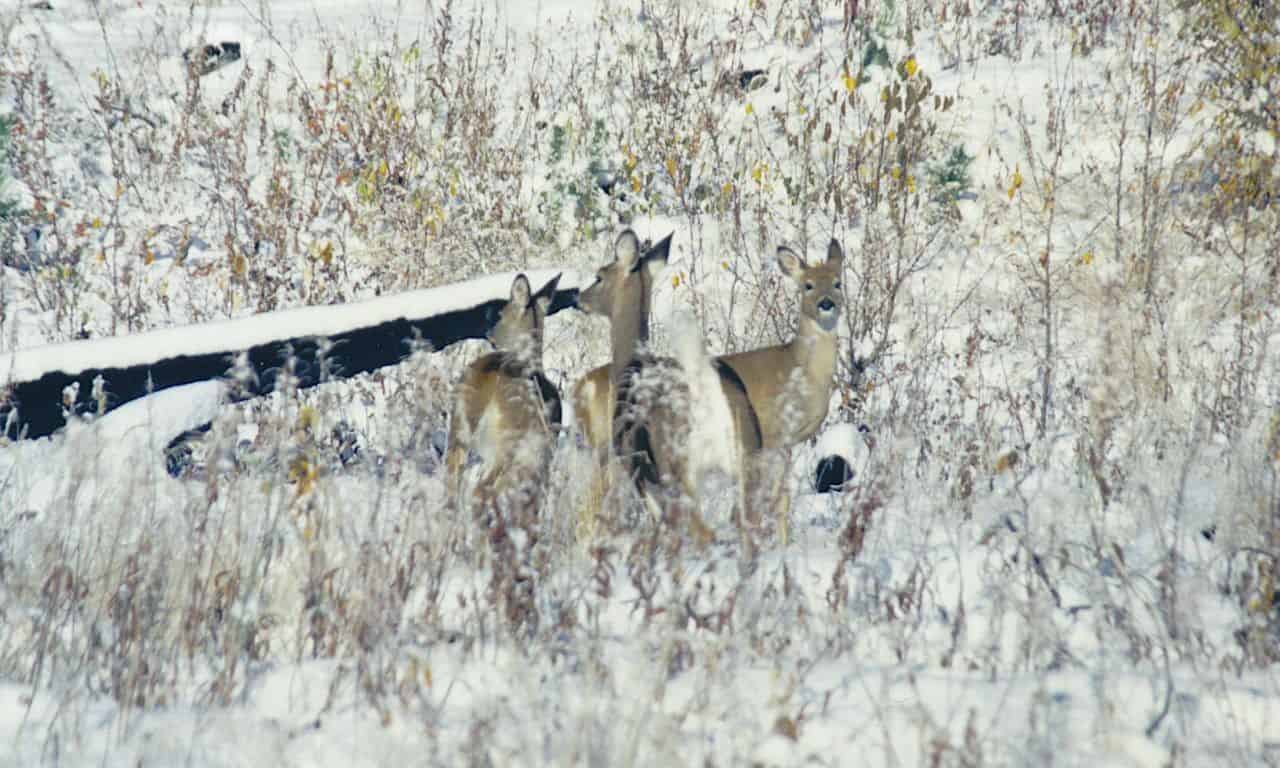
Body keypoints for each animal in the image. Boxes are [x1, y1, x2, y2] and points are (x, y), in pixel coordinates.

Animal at [573, 227, 757, 540]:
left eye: (599, 276)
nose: (578, 298)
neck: (631, 362)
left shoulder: (636, 469)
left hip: (679, 467)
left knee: (703, 532)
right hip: (750, 453)